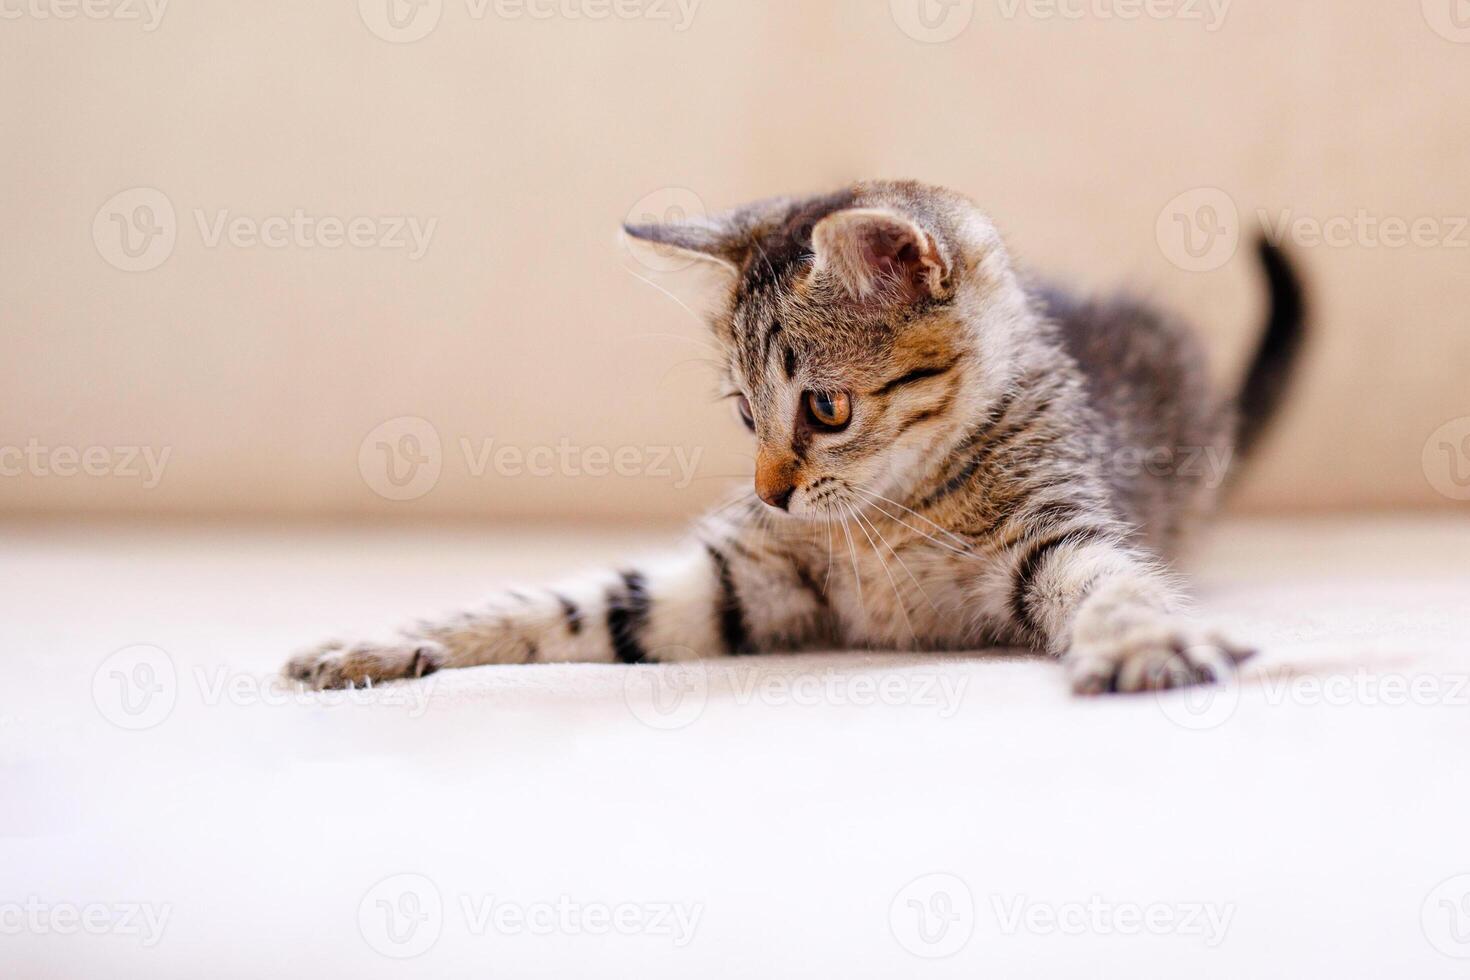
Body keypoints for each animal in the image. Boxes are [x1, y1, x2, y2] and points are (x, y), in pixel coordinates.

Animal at [280, 178, 1305, 696]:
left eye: (826, 410)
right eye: (744, 411)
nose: (770, 491)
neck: (888, 515)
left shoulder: (1053, 533)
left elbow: (1112, 584)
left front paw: (1142, 643)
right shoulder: (736, 579)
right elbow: (564, 605)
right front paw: (390, 641)